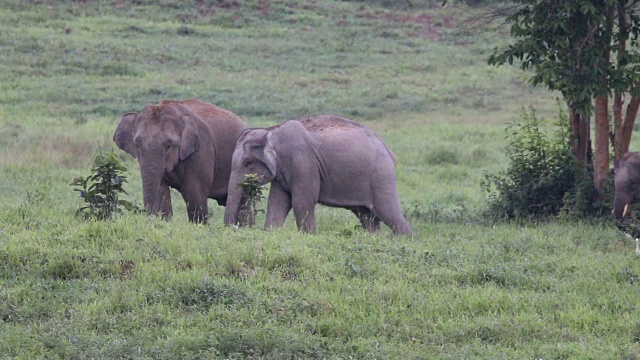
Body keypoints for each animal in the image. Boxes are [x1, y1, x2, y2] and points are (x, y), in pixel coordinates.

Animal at [222, 114, 412, 235]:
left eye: (248, 163)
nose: (233, 229)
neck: (272, 131)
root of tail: (388, 150)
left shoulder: (304, 162)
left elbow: (302, 202)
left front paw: (309, 236)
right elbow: (277, 203)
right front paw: (271, 233)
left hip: (380, 175)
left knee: (388, 212)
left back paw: (405, 240)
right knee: (367, 215)